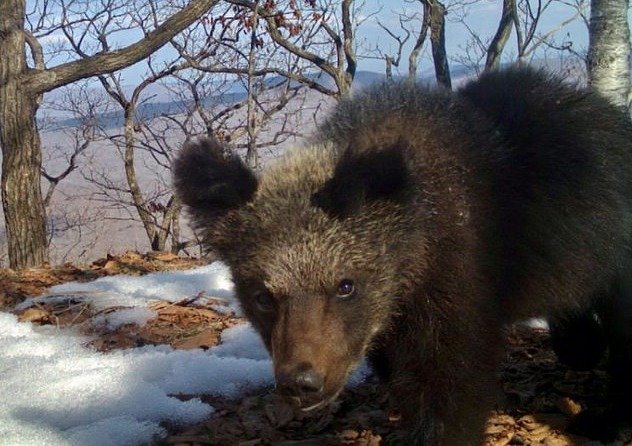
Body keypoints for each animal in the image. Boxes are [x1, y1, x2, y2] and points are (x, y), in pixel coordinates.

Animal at [173, 67, 632, 446]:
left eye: (345, 285)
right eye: (262, 296)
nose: (302, 382)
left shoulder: (459, 280)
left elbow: (450, 384)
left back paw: (603, 418)